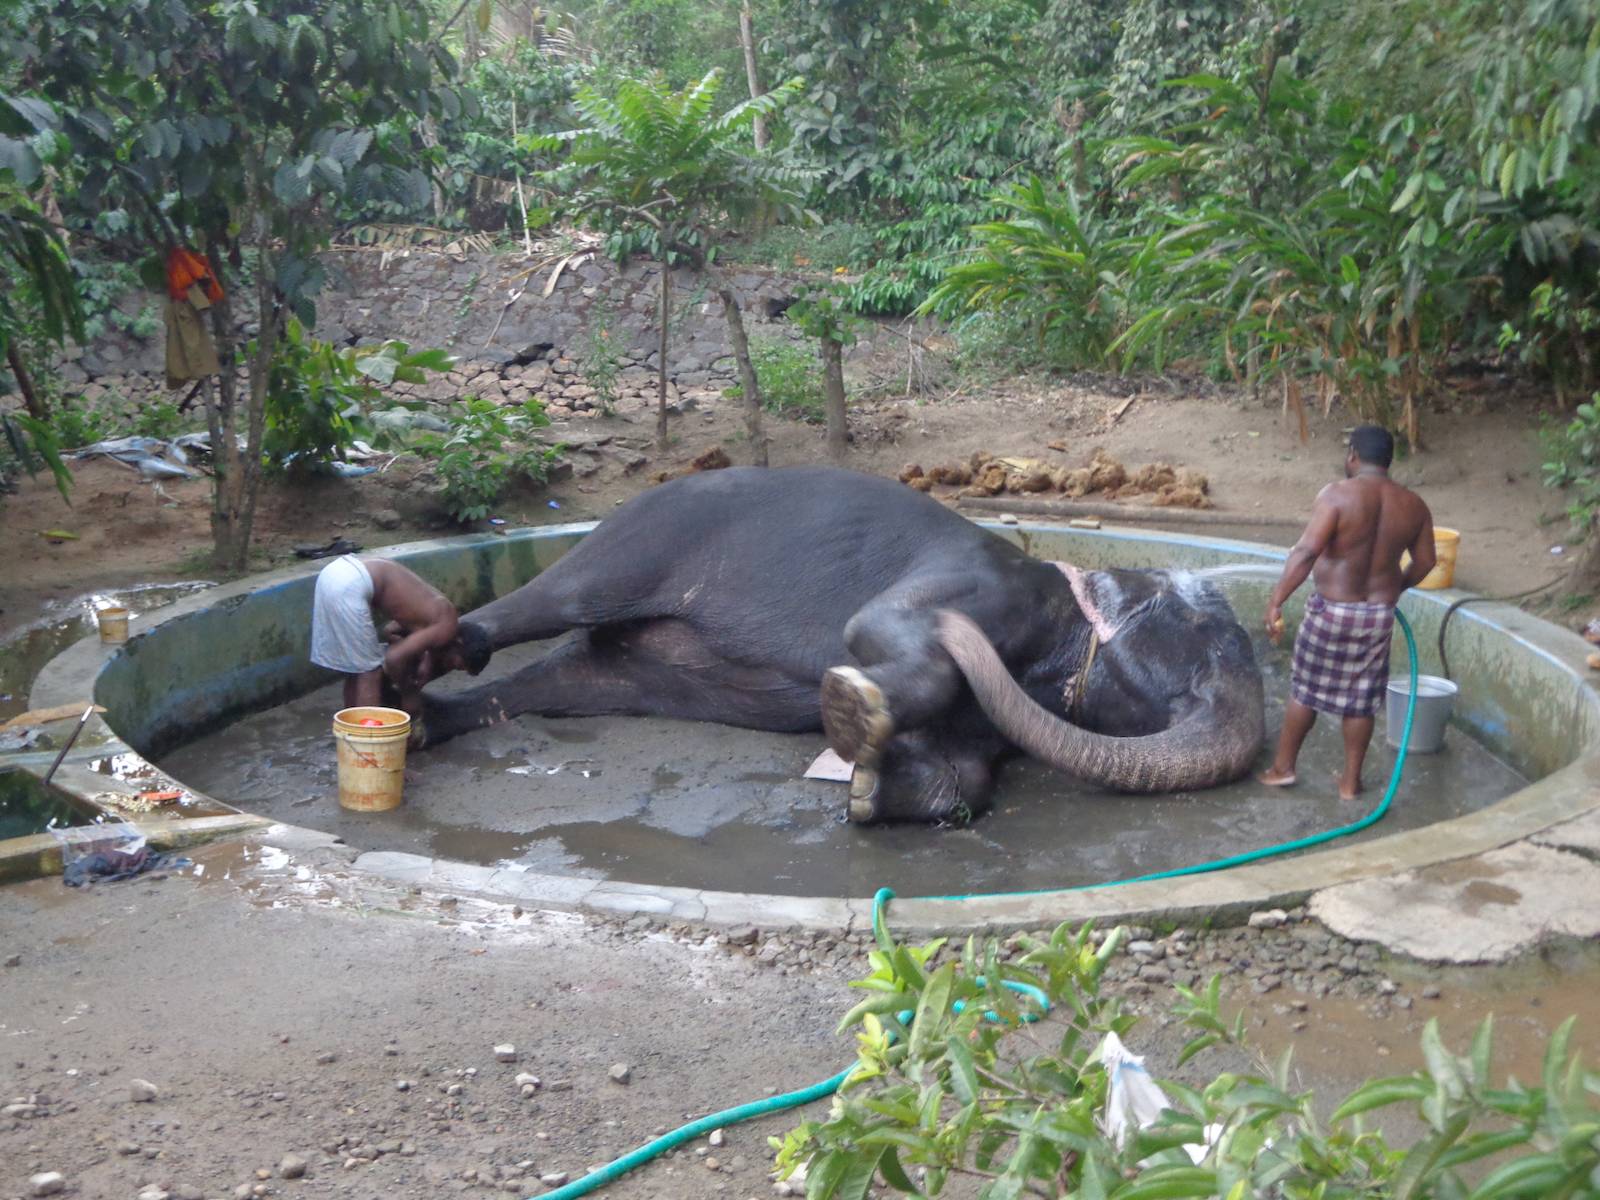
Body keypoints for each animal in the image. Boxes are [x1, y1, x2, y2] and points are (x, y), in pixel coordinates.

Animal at [418, 466, 1266, 823]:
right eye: (1204, 640)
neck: (1066, 600)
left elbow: (967, 774)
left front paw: (868, 789)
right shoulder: (979, 587)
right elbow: (875, 625)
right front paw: (856, 709)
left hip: (629, 666)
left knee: (564, 680)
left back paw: (428, 719)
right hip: (647, 537)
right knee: (553, 603)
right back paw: (435, 652)